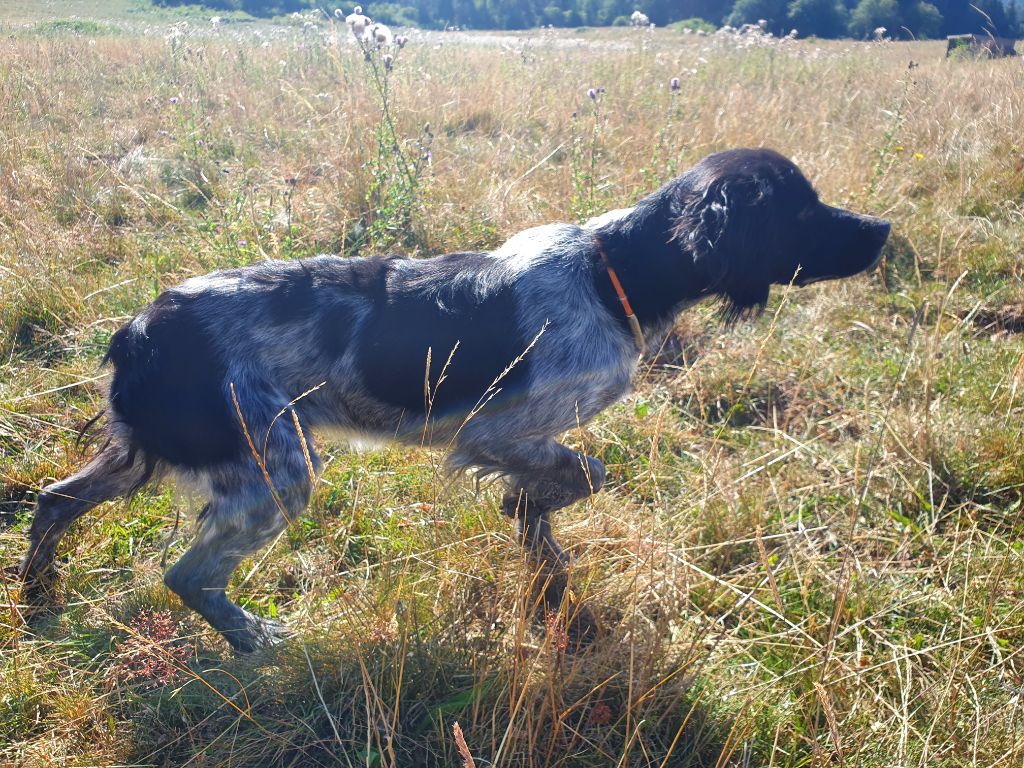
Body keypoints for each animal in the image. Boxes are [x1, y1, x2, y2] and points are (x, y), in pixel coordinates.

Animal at [22, 147, 888, 651]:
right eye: (801, 207)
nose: (882, 229)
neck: (613, 271)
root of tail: (139, 328)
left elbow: (550, 505)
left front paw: (542, 555)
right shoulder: (492, 432)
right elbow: (585, 474)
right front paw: (533, 524)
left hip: (149, 454)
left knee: (52, 500)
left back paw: (36, 599)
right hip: (274, 470)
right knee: (186, 575)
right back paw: (252, 639)